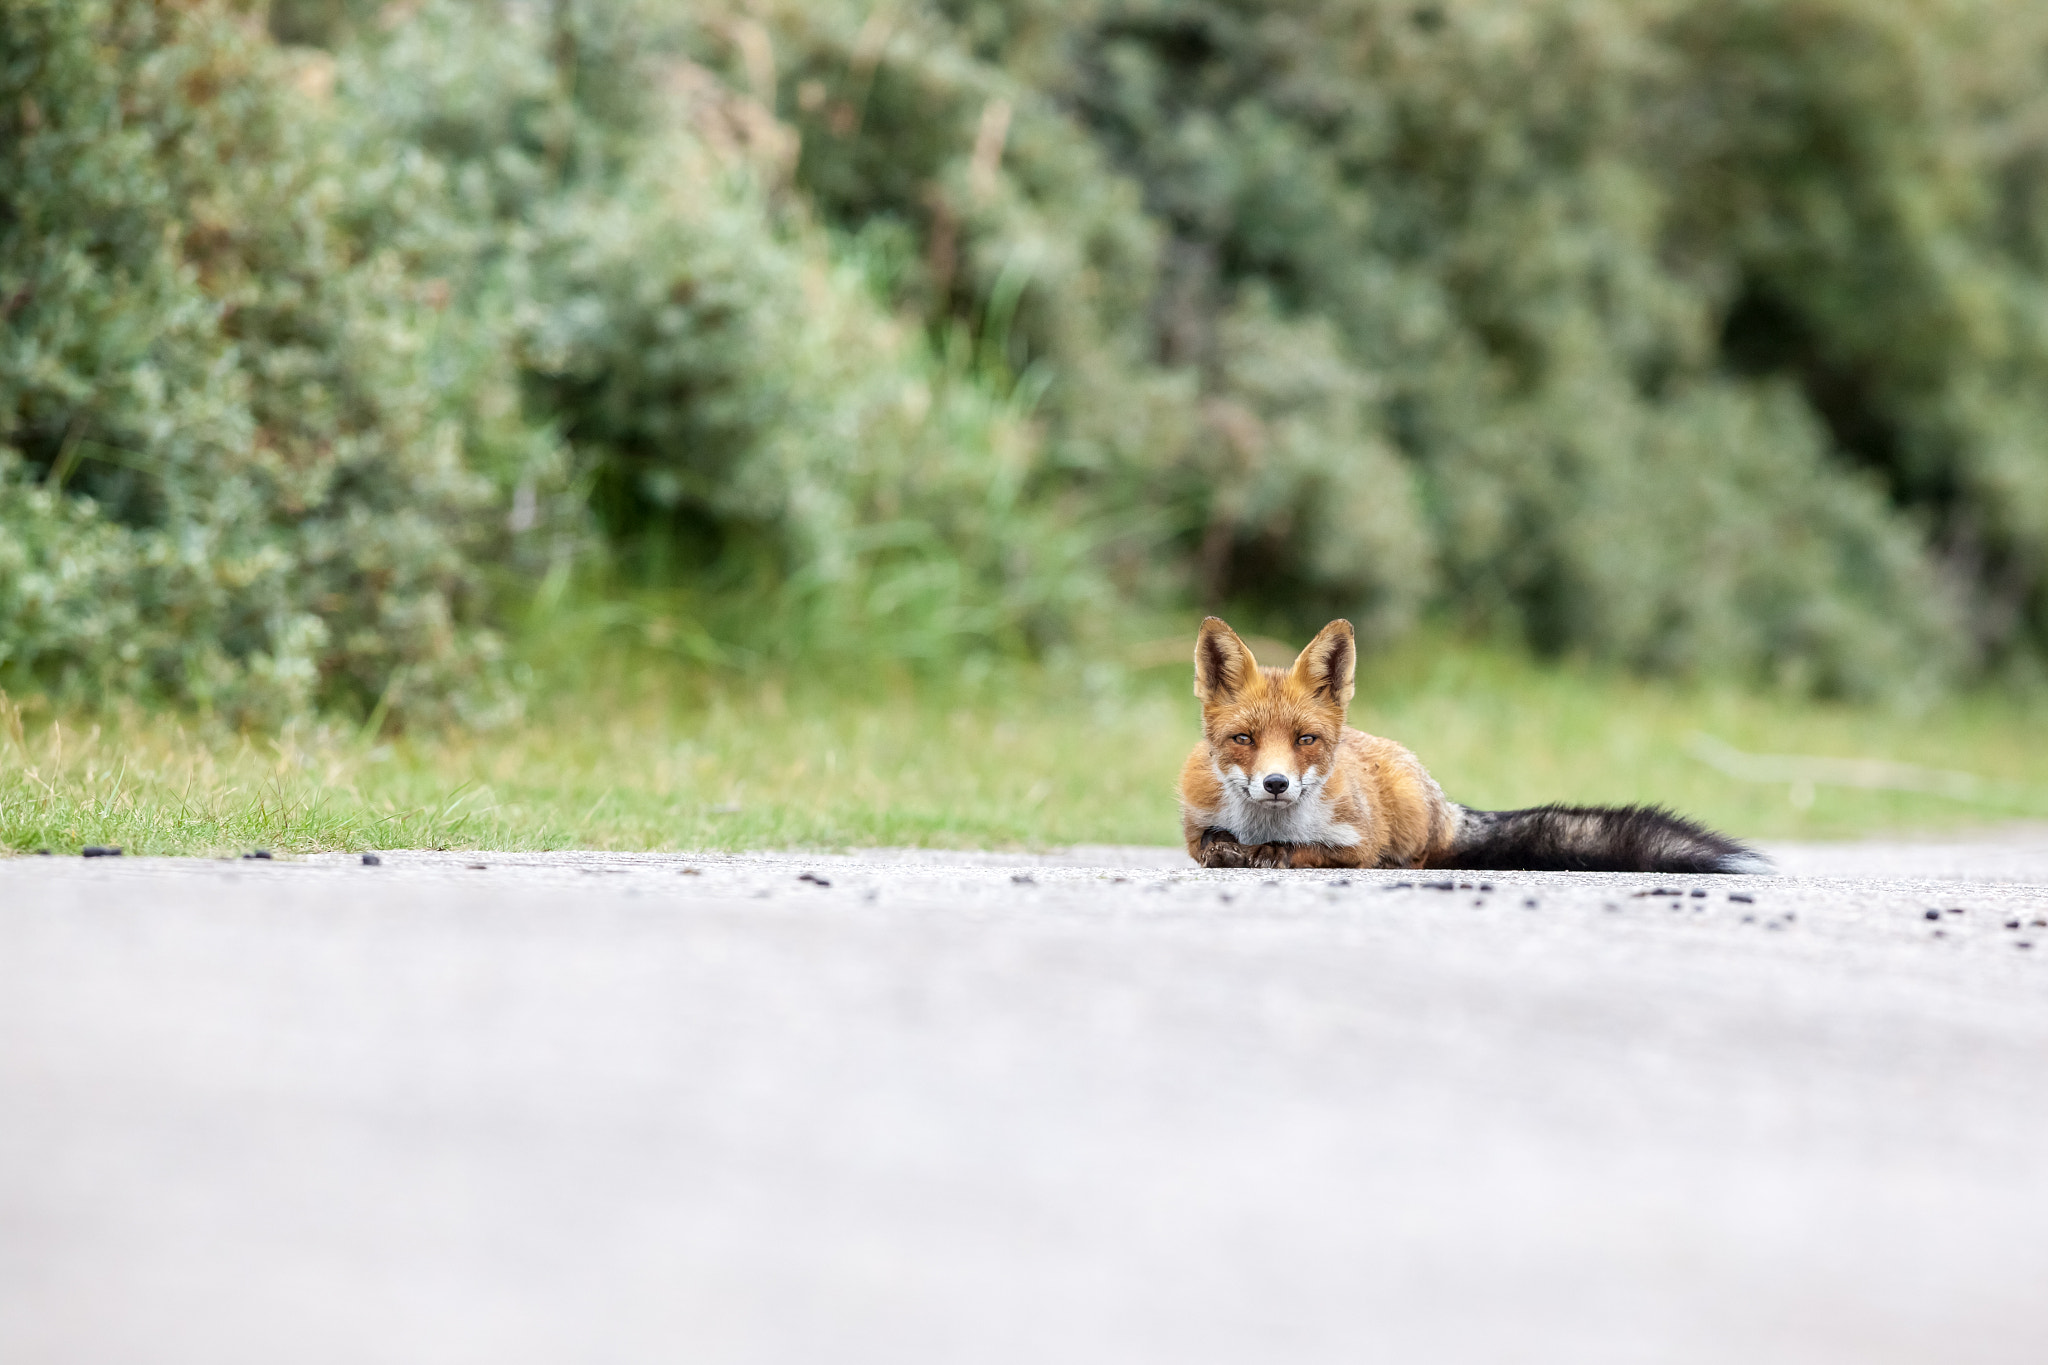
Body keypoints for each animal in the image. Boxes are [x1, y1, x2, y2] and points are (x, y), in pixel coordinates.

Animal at [1179, 618, 1769, 875]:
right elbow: (1208, 842)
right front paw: (1229, 848)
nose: (1276, 784)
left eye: (1306, 739)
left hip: (1409, 818)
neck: (1263, 824)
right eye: (1243, 740)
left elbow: (1304, 850)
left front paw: (1271, 852)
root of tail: (1442, 799)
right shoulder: (1194, 818)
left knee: (1419, 858)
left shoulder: (1357, 841)